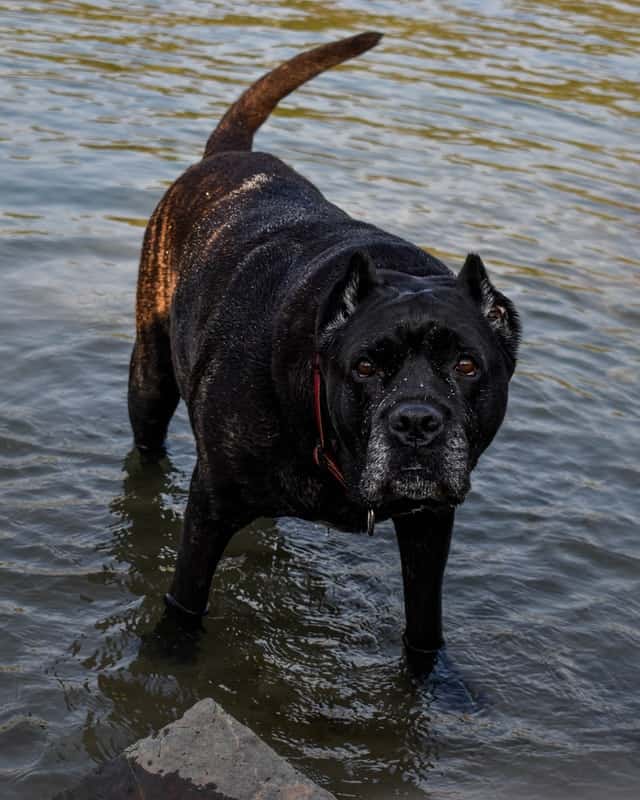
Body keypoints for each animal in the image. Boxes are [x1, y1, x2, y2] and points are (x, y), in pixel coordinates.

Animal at [129, 32, 520, 656]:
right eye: (364, 367)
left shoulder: (430, 525)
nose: (416, 422)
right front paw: (170, 656)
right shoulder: (210, 508)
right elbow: (185, 603)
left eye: (466, 365)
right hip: (150, 380)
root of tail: (225, 157)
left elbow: (424, 629)